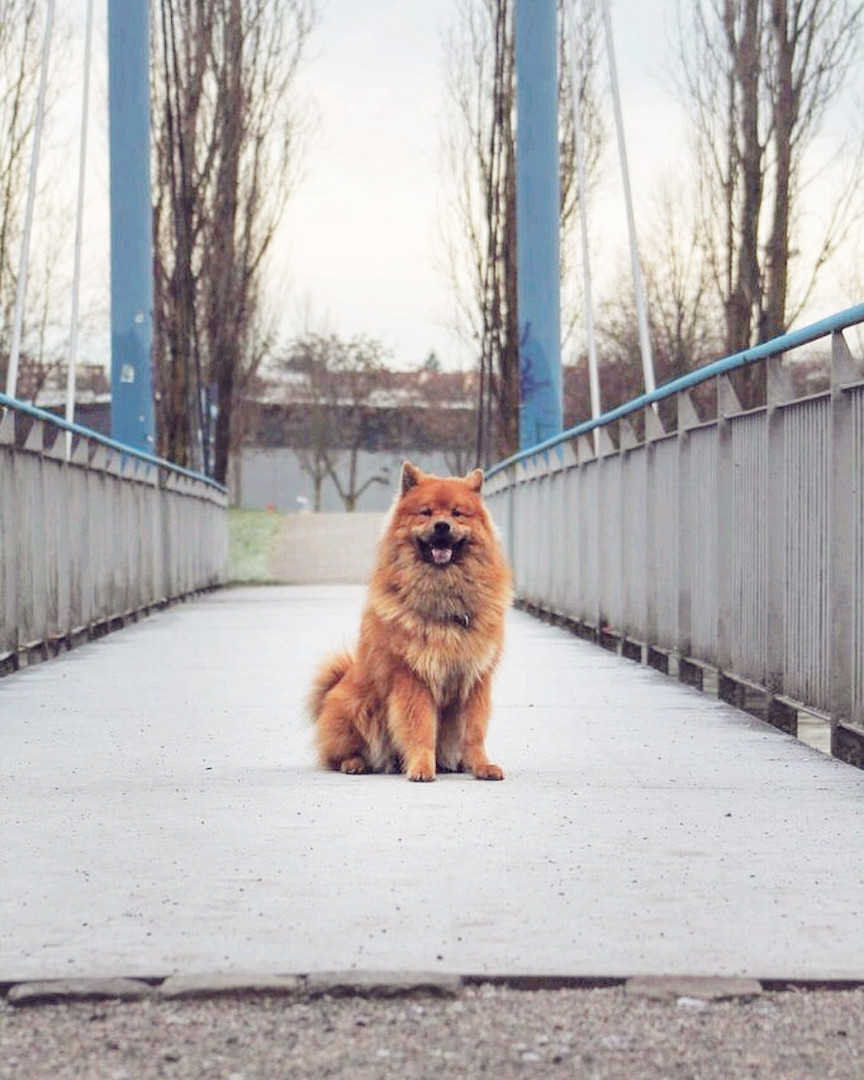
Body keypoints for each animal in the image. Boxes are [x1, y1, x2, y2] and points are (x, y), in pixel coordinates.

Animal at [311, 460, 514, 781]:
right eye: (426, 512)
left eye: (457, 513)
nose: (442, 525)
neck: (443, 594)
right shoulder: (413, 677)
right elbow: (420, 727)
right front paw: (421, 766)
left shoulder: (475, 678)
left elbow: (474, 731)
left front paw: (481, 765)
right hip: (358, 707)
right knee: (340, 753)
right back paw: (355, 764)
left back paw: (453, 763)